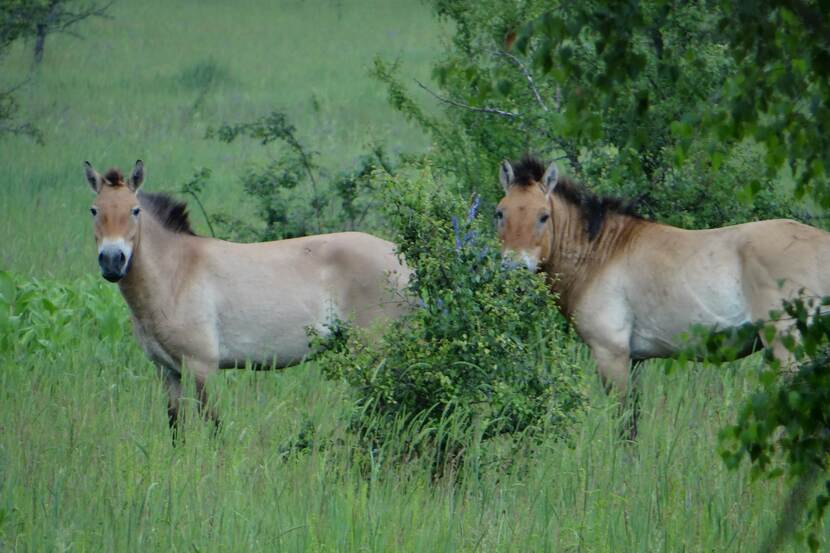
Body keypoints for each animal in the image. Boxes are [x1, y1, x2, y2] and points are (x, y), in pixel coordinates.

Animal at [83, 160, 412, 432]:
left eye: (134, 210)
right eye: (94, 210)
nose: (112, 261)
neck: (177, 273)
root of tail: (403, 260)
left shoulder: (202, 368)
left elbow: (214, 425)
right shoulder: (167, 372)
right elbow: (176, 427)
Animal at [498, 156, 830, 436]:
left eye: (543, 216)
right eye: (499, 213)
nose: (514, 268)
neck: (601, 253)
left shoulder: (611, 355)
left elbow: (624, 428)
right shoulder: (634, 361)